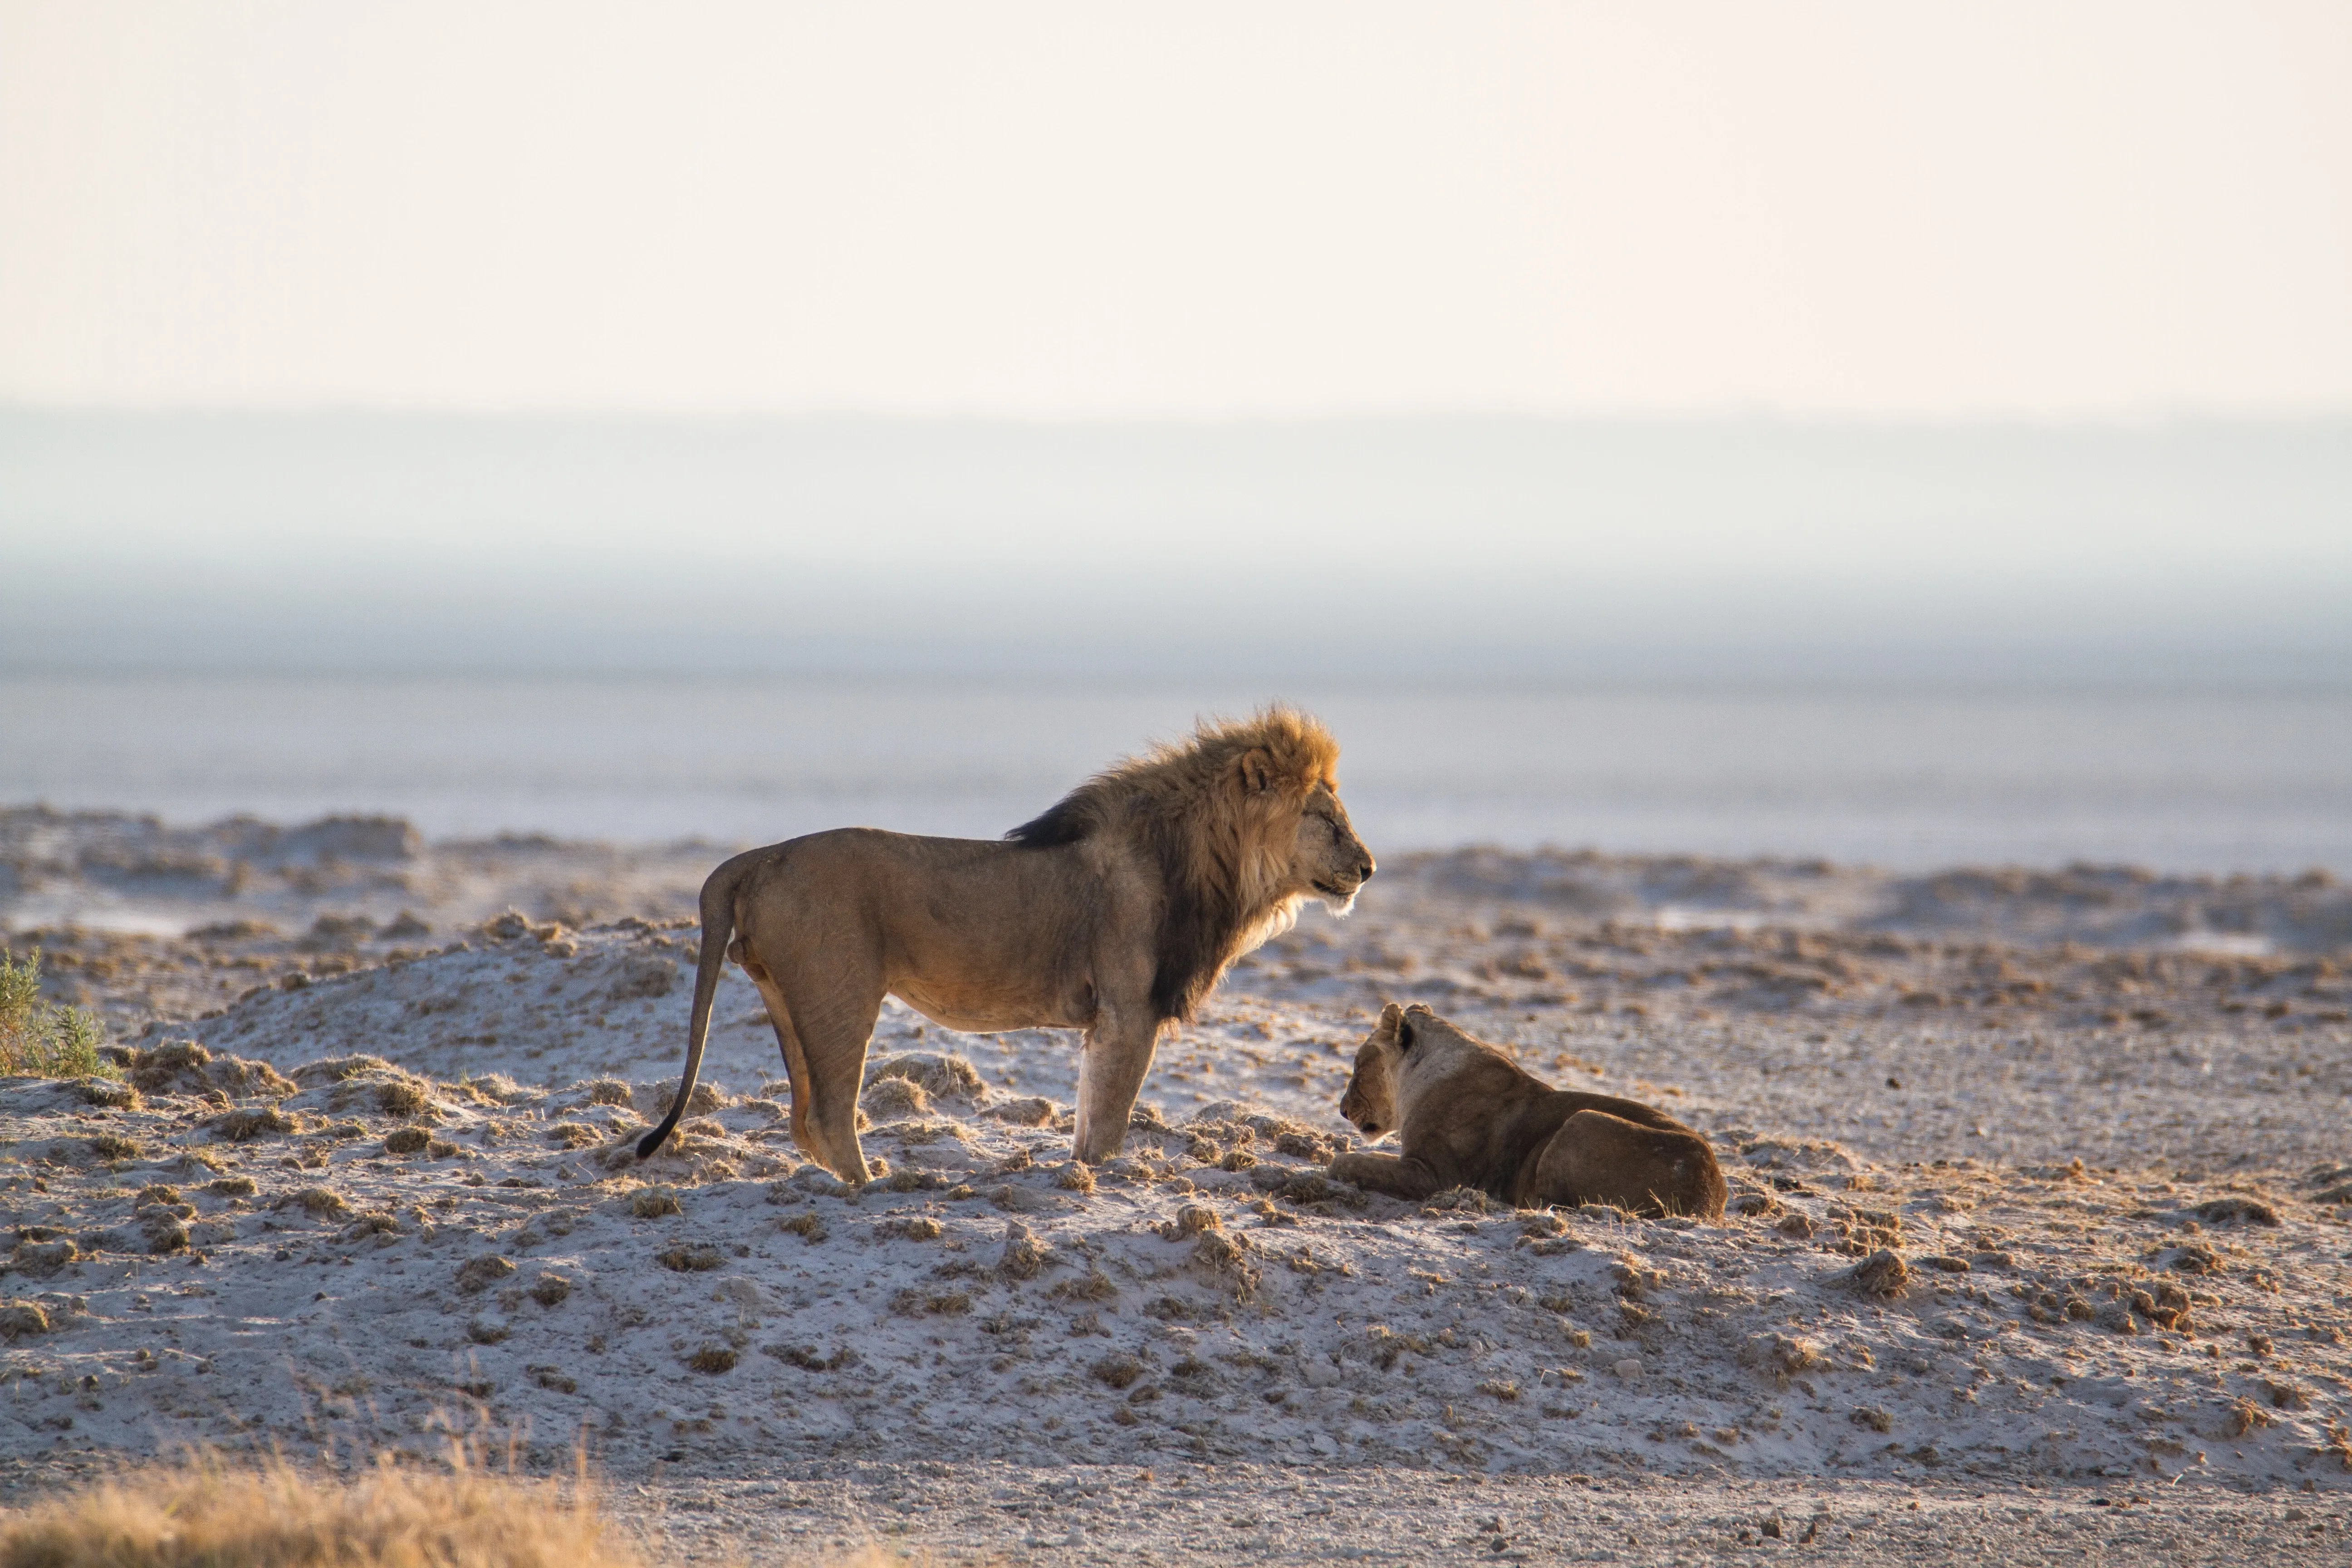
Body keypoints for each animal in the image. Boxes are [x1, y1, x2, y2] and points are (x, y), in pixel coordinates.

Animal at [638, 708, 1374, 1179]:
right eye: (1325, 818)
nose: (1369, 868)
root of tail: (760, 855)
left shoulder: (1111, 1020)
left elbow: (1088, 1116)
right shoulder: (1129, 1011)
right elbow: (1108, 1122)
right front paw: (1095, 1180)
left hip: (788, 998)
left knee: (801, 1119)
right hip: (840, 997)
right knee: (827, 1116)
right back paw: (875, 1190)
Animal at [1329, 1003, 1726, 1219]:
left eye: (1358, 1065)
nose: (1343, 1111)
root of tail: (1711, 1194)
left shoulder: (1436, 1175)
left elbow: (1351, 1163)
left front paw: (1338, 1163)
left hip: (1582, 1120)